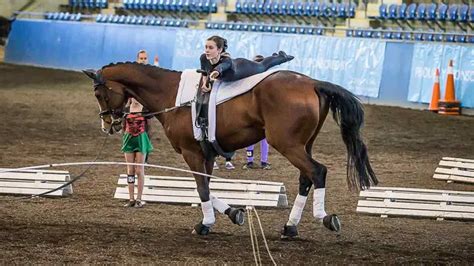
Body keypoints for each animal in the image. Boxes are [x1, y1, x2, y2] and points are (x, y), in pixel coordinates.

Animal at [82, 61, 378, 237]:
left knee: (317, 172)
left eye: (98, 94)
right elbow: (206, 186)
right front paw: (233, 213)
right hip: (304, 144)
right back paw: (290, 227)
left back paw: (324, 218)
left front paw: (205, 224)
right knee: (306, 178)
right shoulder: (206, 153)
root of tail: (312, 82)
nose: (107, 125)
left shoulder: (191, 152)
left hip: (287, 144)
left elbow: (201, 188)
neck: (172, 94)